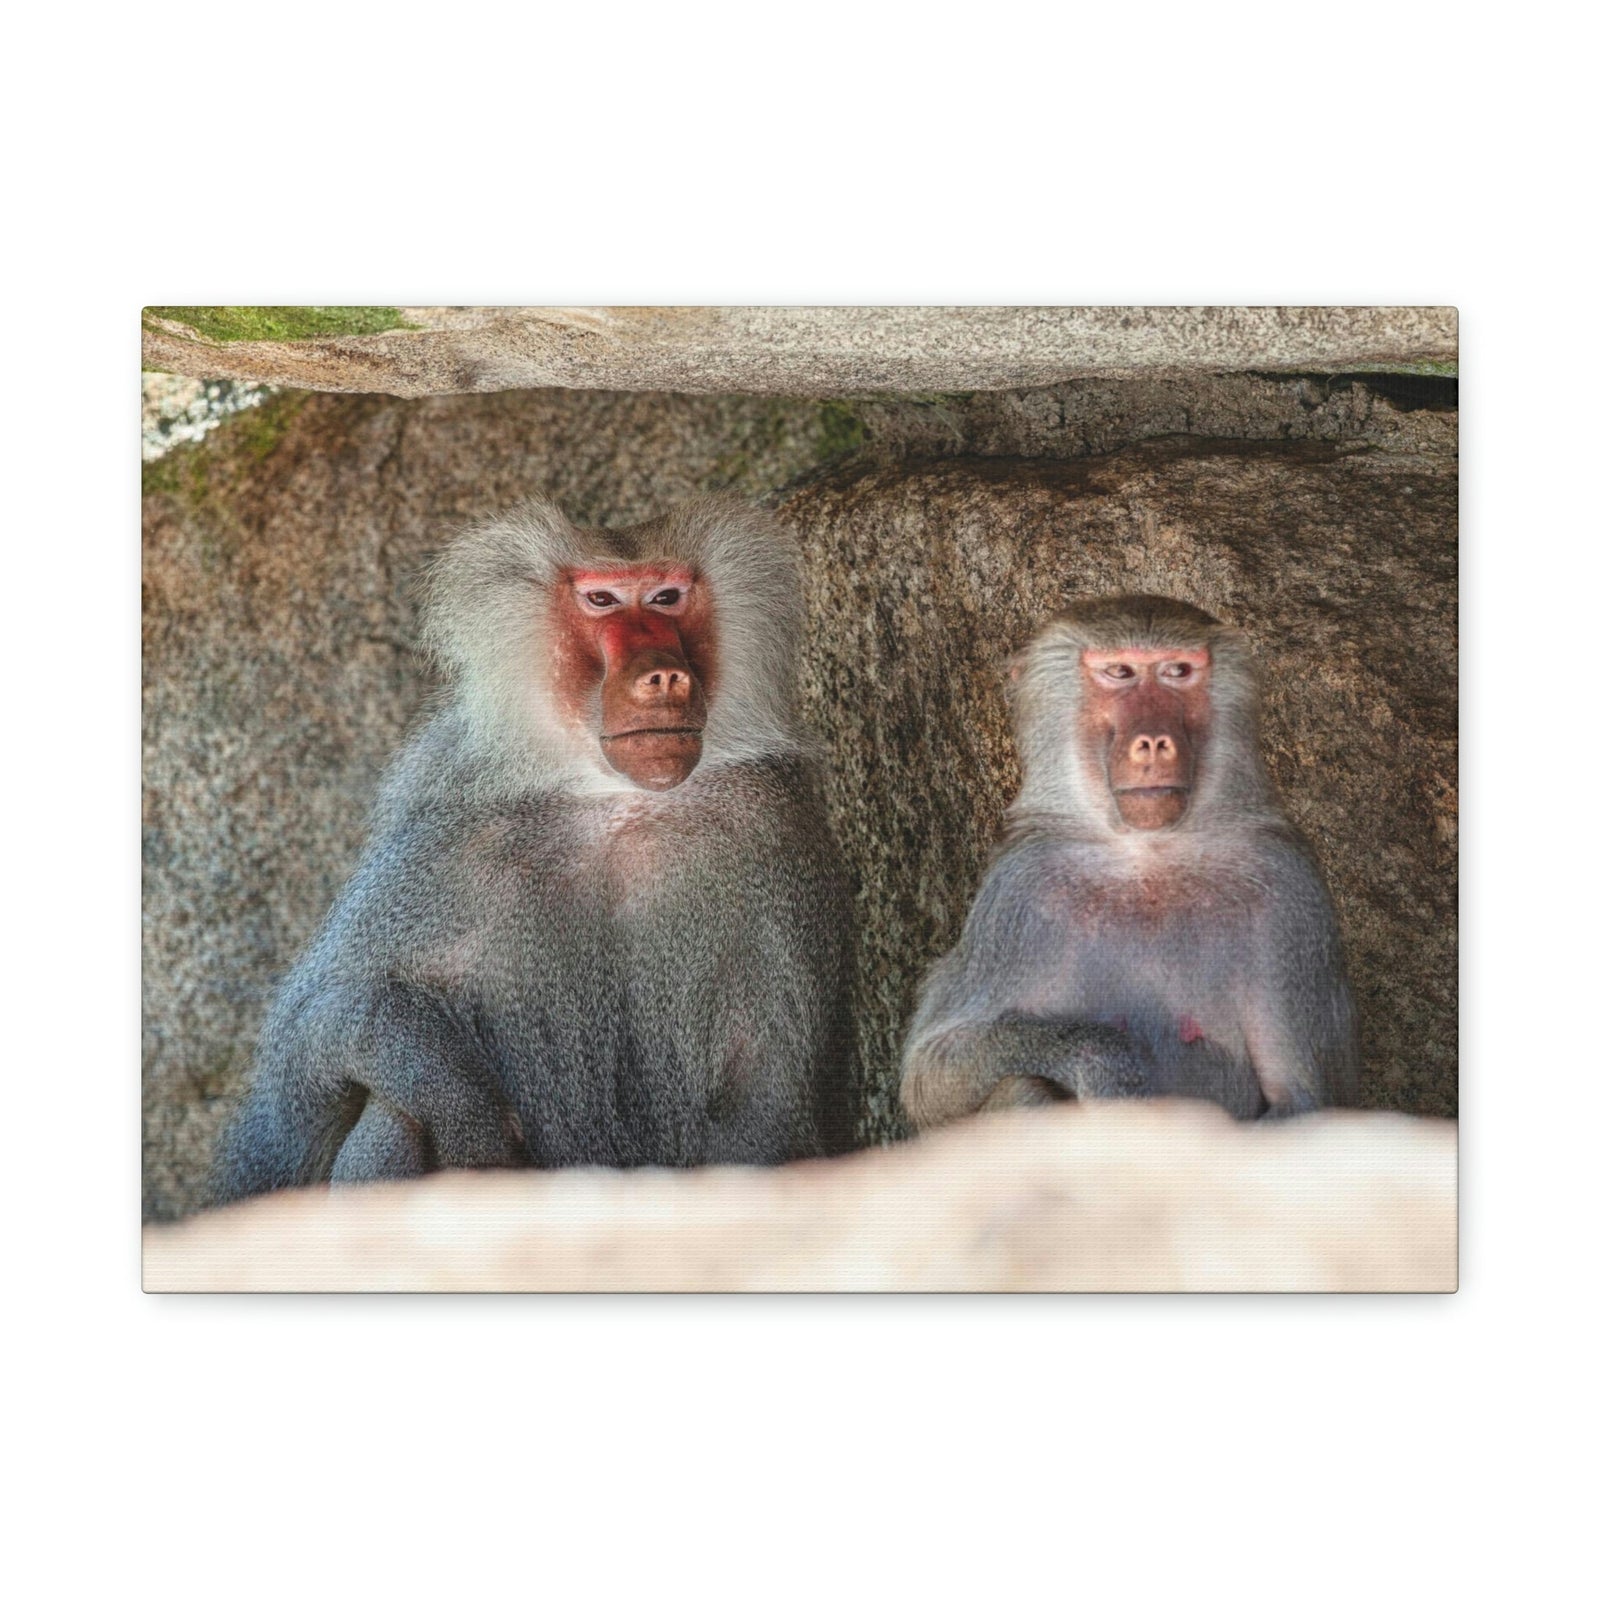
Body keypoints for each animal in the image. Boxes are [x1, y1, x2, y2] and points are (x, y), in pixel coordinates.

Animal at [211, 496, 857, 1203]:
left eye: (666, 597)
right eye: (601, 599)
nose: (664, 676)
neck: (615, 799)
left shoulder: (771, 831)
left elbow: (767, 1103)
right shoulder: (447, 834)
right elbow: (309, 1039)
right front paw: (466, 1112)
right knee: (390, 1110)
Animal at [899, 595, 1358, 1131]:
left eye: (1178, 671)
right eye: (1119, 672)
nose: (1156, 741)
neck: (1149, 857)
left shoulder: (1289, 892)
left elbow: (1301, 1100)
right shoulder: (1019, 892)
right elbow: (931, 1072)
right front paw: (1107, 1064)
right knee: (1022, 1088)